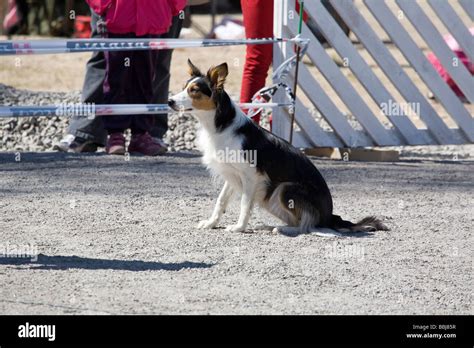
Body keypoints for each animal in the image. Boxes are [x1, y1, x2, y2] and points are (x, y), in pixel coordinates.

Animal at [168, 59, 386, 235]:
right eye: (183, 87)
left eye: (194, 90)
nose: (169, 101)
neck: (219, 123)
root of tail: (330, 216)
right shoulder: (232, 174)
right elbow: (221, 201)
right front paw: (211, 223)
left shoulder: (251, 175)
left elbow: (244, 203)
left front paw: (239, 228)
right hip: (271, 197)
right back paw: (270, 226)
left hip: (285, 189)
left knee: (309, 225)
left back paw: (283, 229)